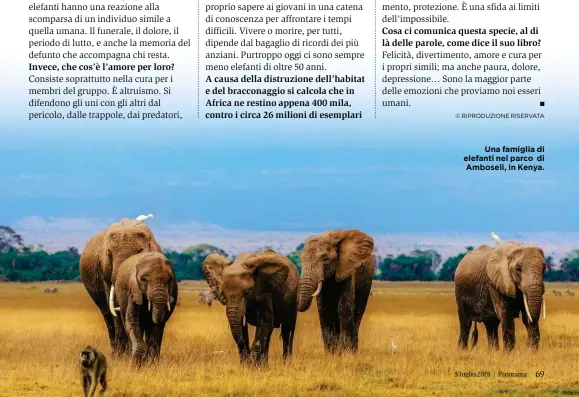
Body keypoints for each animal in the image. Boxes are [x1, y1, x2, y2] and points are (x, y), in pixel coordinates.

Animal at [78, 217, 162, 356]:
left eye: (139, 252)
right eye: (109, 254)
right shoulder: (104, 270)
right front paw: (121, 355)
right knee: (106, 314)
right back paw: (115, 352)